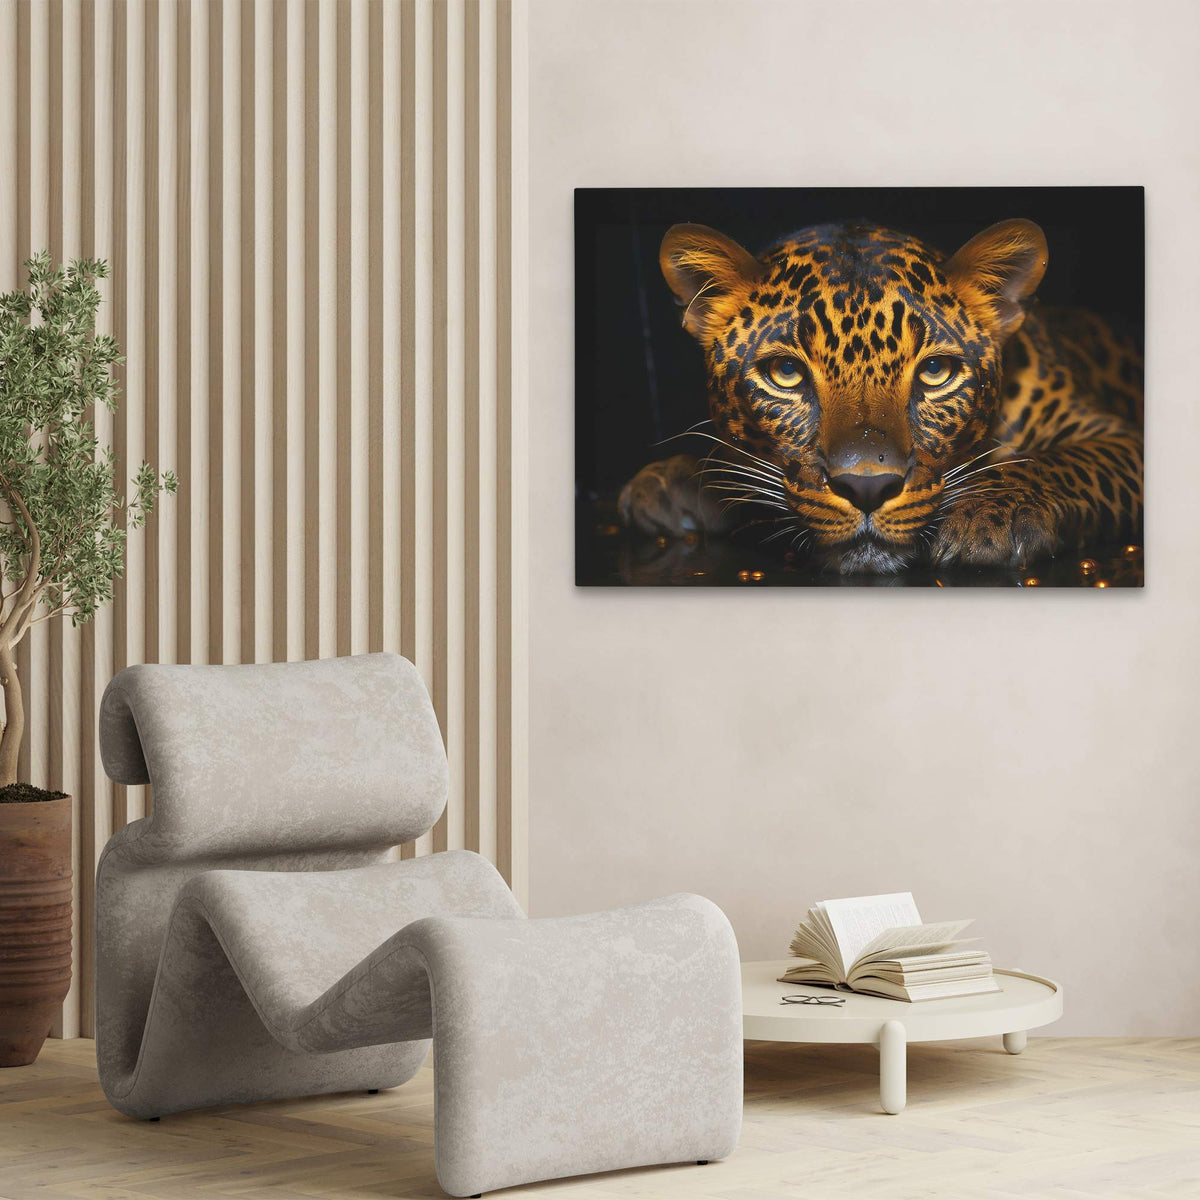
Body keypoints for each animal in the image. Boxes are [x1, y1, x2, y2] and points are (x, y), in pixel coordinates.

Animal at [618, 218, 1143, 575]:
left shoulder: (1119, 435)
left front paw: (993, 511)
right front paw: (673, 480)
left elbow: (1065, 461)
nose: (867, 488)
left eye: (935, 372)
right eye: (786, 373)